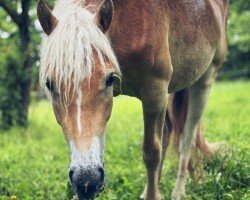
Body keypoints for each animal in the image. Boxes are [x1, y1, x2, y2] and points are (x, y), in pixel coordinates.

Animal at [37, 0, 229, 199]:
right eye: (50, 84)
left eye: (110, 79)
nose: (86, 181)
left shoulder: (155, 92)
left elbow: (152, 153)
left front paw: (153, 195)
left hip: (204, 81)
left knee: (186, 140)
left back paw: (178, 191)